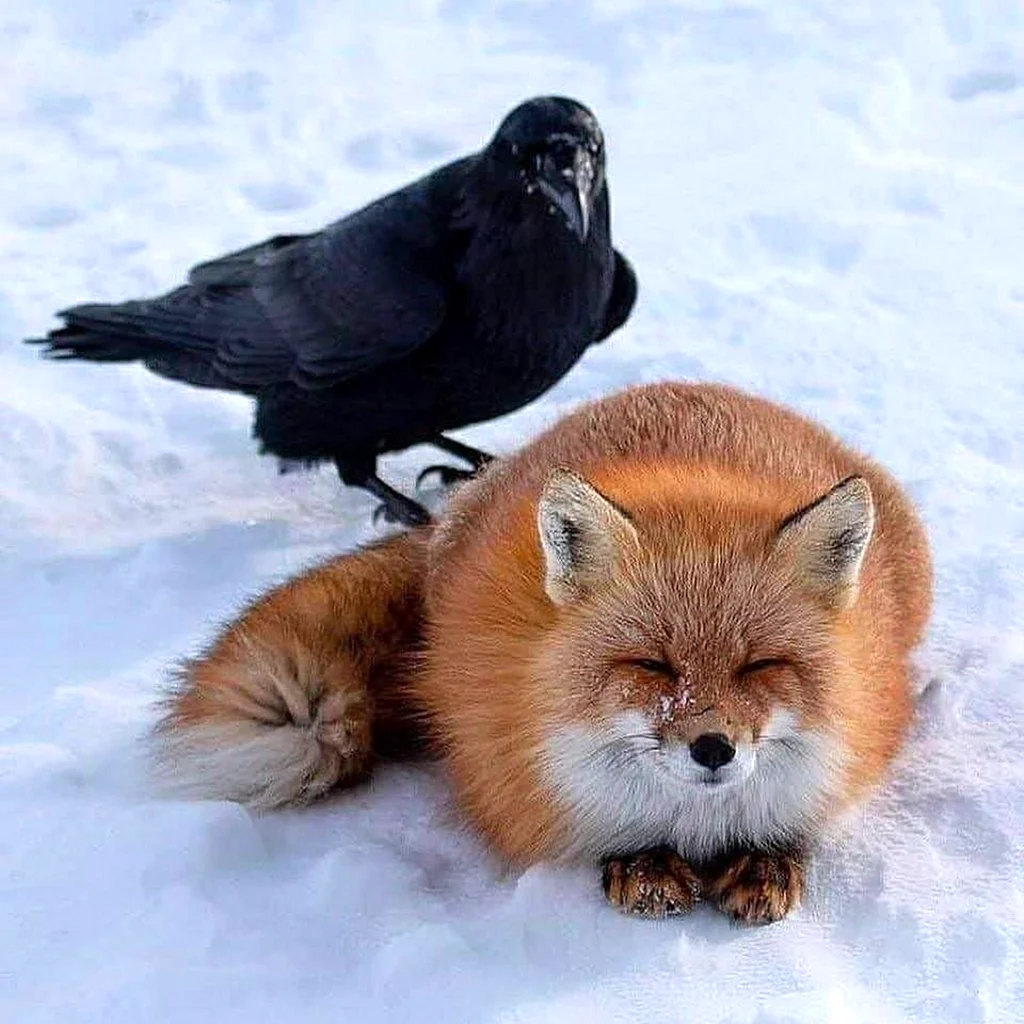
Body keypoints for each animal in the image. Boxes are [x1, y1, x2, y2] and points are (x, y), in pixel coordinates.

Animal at [156, 382, 932, 924]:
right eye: (651, 665)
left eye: (760, 665)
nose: (713, 748)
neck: (694, 824)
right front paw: (642, 862)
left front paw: (768, 857)